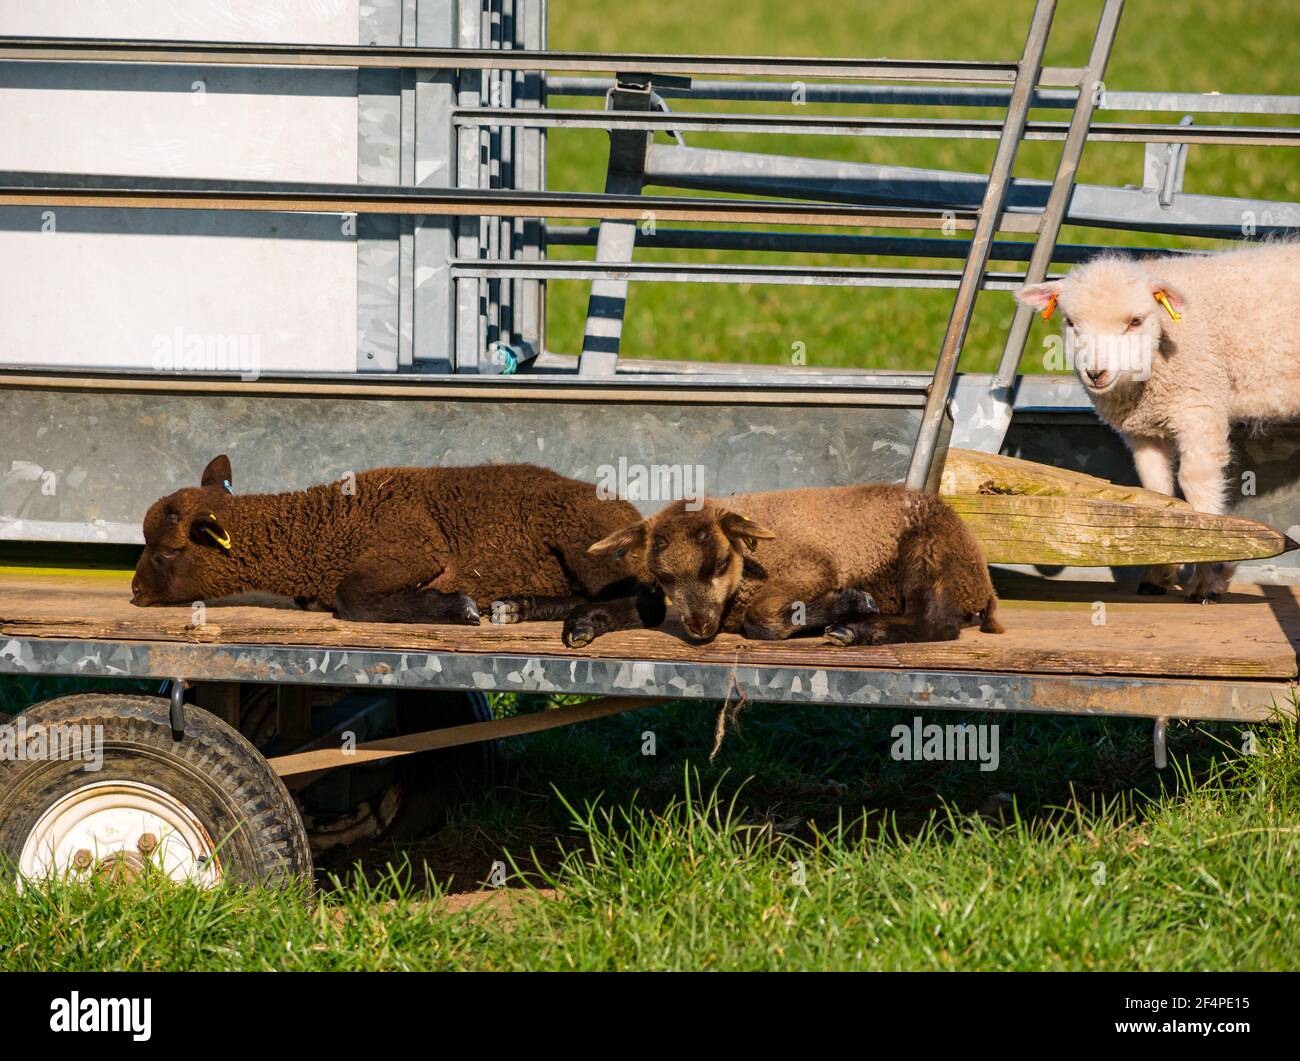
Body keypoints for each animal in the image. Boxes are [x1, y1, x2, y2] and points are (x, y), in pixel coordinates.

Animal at [132, 455, 664, 646]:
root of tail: (632, 513)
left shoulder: (412, 548)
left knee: (648, 599)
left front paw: (457, 608)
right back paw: (518, 606)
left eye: (166, 552)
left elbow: (352, 598)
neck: (320, 532)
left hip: (586, 540)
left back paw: (585, 624)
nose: (135, 592)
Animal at [583, 483, 1002, 646]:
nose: (699, 626)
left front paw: (850, 602)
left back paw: (855, 630)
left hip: (927, 549)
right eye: (664, 577)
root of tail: (982, 585)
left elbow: (761, 618)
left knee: (936, 621)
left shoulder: (811, 566)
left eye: (720, 564)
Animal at [1016, 241, 1300, 602]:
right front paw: (1159, 573)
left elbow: (1197, 487)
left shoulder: (1199, 405)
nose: (1096, 373)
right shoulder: (1142, 431)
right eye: (1070, 321)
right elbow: (1157, 492)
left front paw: (1208, 579)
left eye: (1135, 321)